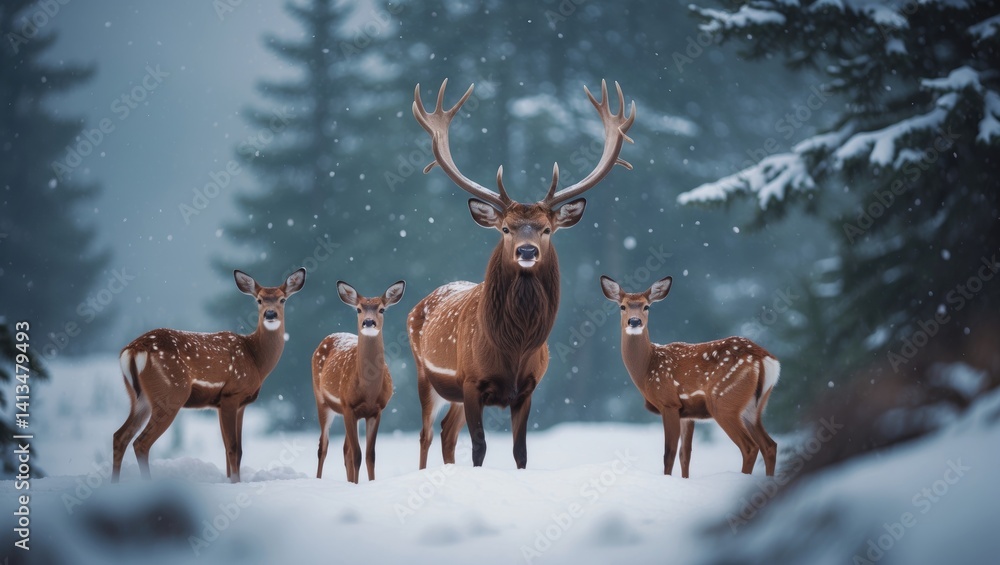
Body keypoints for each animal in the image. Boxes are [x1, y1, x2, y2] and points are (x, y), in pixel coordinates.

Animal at [112, 268, 306, 483]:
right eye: (259, 300)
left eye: (282, 299)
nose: (270, 314)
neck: (255, 359)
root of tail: (133, 350)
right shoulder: (231, 394)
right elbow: (233, 448)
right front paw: (236, 482)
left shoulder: (235, 404)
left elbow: (234, 450)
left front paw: (231, 480)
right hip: (171, 393)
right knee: (141, 442)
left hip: (139, 397)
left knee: (119, 436)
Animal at [312, 280, 405, 483]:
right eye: (358, 309)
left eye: (382, 309)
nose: (368, 322)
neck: (368, 391)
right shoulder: (349, 406)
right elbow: (357, 455)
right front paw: (356, 485)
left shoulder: (376, 410)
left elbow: (370, 455)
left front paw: (369, 483)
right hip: (322, 401)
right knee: (323, 446)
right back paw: (319, 480)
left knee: (345, 449)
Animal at [409, 79, 635, 469]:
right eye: (505, 229)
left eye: (546, 229)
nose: (526, 251)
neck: (514, 348)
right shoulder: (471, 381)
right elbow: (479, 447)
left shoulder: (529, 387)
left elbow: (521, 451)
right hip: (427, 376)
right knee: (425, 434)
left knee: (446, 432)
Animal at [600, 275, 779, 477]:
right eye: (622, 306)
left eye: (647, 306)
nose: (635, 321)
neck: (647, 369)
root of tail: (764, 358)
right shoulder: (687, 413)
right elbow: (685, 454)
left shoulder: (669, 402)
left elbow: (669, 453)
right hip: (754, 407)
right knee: (770, 445)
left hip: (724, 401)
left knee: (750, 447)